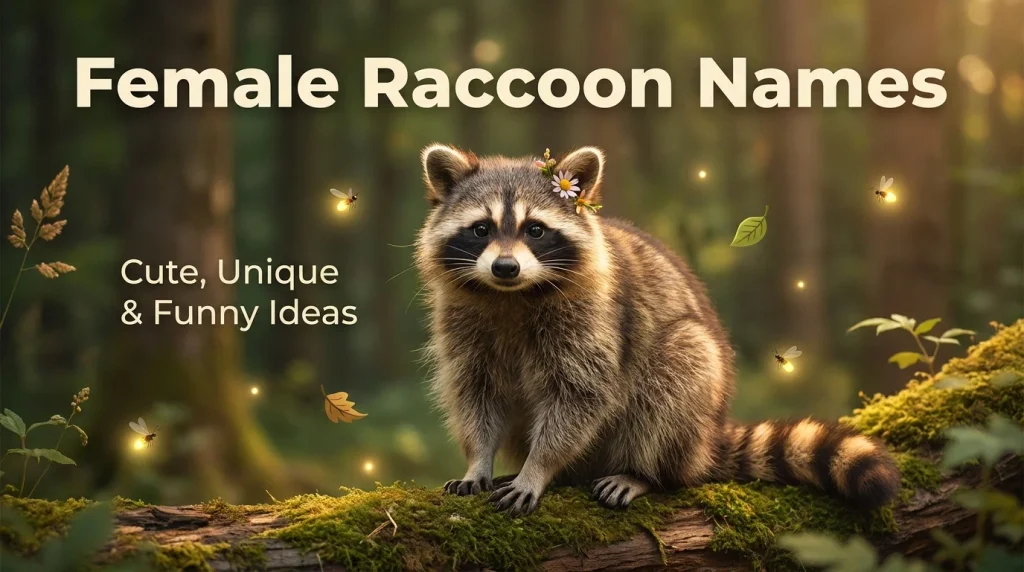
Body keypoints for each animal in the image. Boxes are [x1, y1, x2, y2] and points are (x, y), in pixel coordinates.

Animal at [415, 144, 900, 516]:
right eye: (481, 229)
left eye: (535, 230)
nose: (505, 267)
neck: (512, 294)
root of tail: (707, 438)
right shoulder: (462, 321)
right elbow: (475, 392)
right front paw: (479, 460)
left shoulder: (593, 319)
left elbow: (580, 396)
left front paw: (540, 466)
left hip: (690, 388)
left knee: (676, 372)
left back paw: (643, 472)